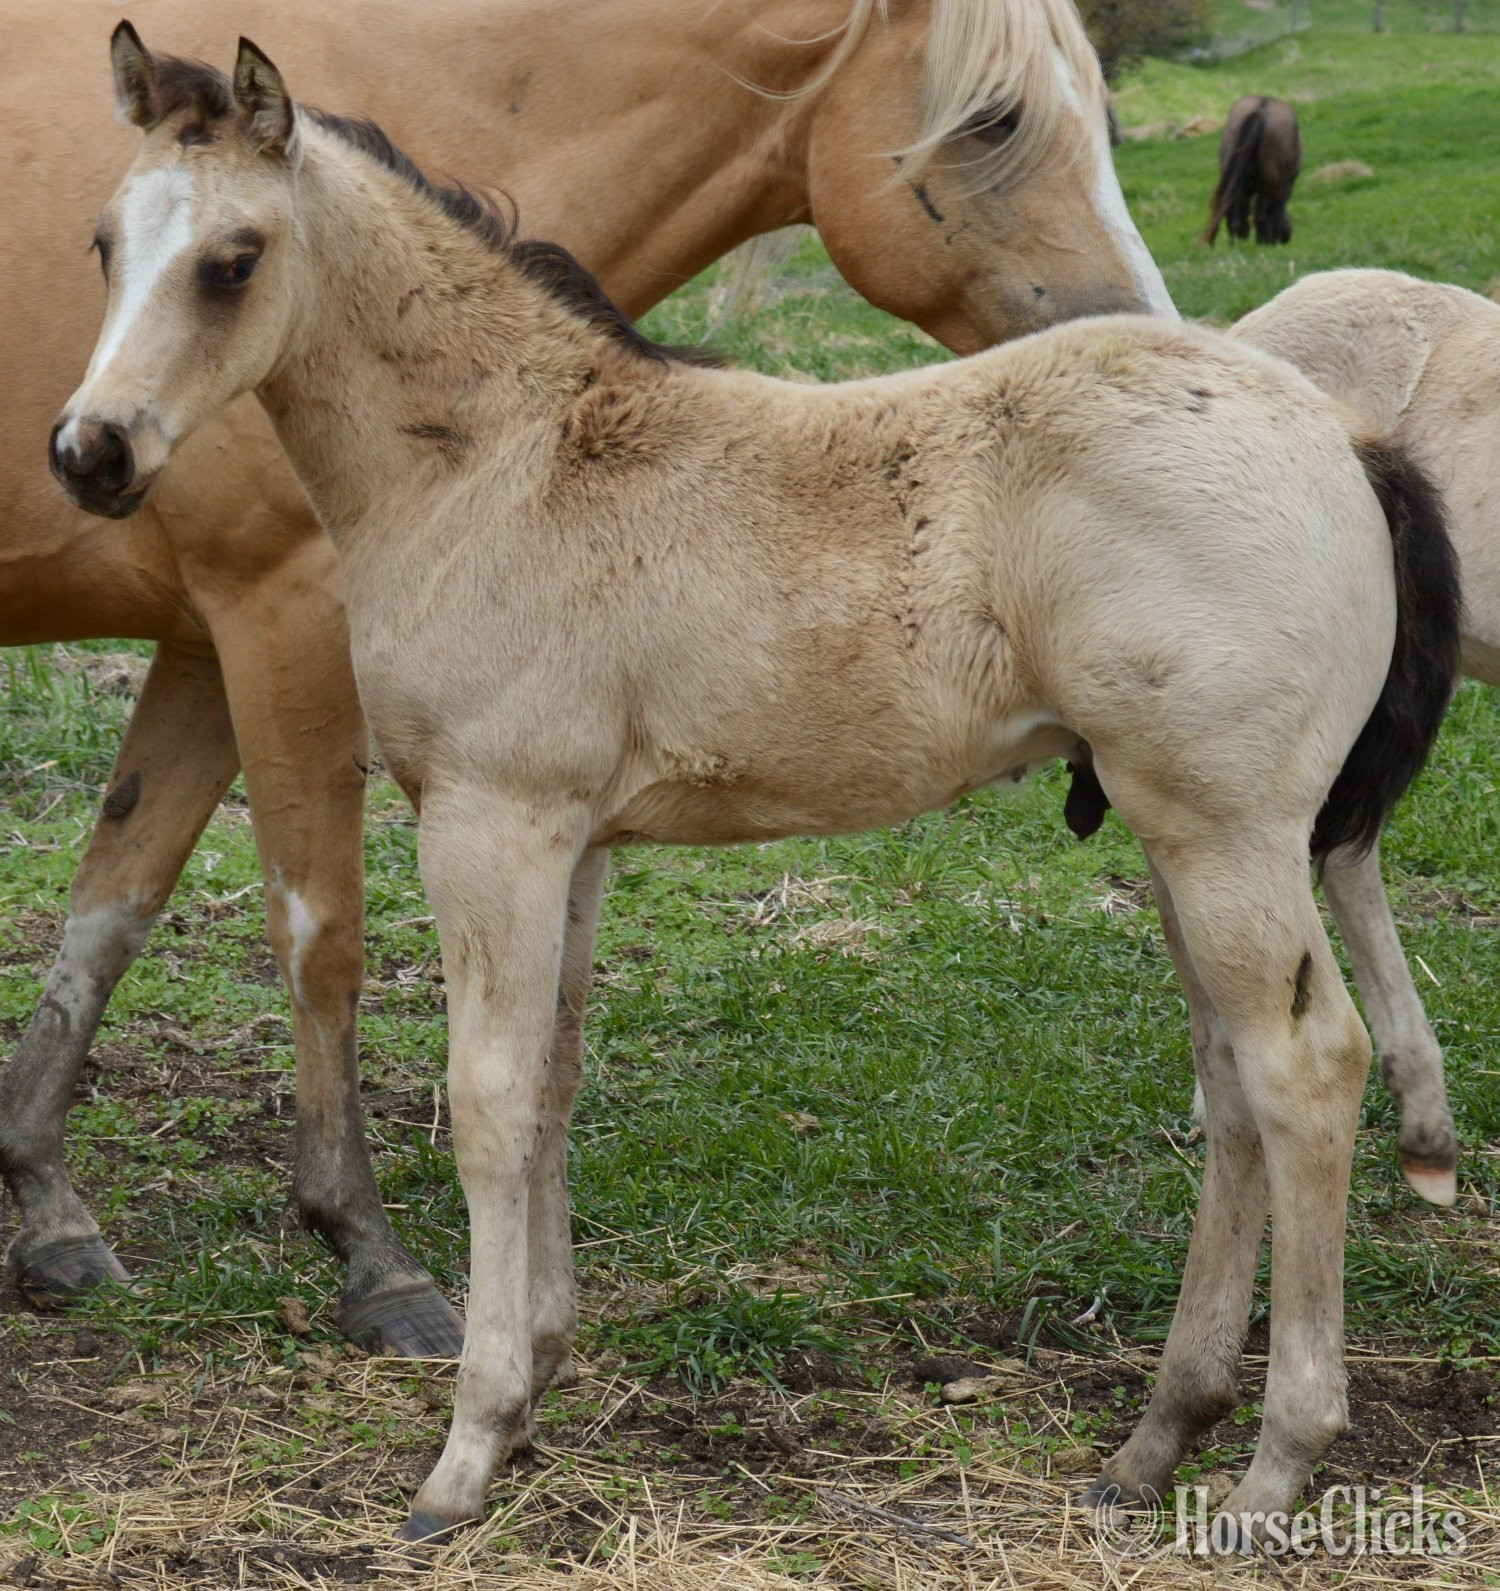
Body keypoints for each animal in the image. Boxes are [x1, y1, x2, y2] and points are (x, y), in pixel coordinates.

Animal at [0, 0, 1173, 1360]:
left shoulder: (212, 638)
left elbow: (120, 899)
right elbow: (316, 935)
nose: (90, 454)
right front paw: (373, 1258)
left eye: (230, 261)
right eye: (994, 119)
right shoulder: (274, 621)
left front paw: (50, 1205)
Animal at [1204, 94, 1302, 246]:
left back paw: (1237, 243)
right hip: (1270, 181)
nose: (1287, 236)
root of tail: (1260, 109)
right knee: (1262, 215)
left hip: (1239, 181)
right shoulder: (1286, 185)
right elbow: (1275, 211)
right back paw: (1263, 243)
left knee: (1236, 215)